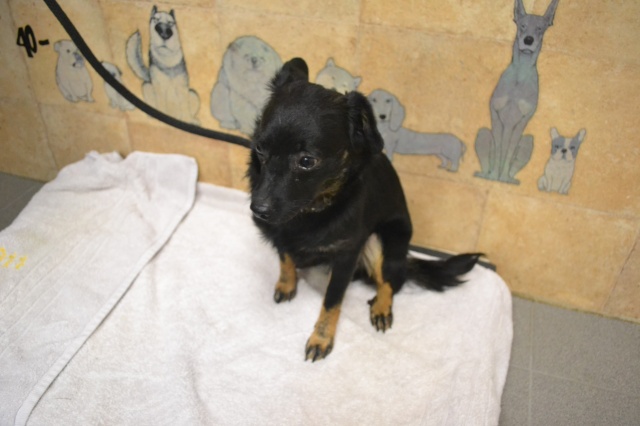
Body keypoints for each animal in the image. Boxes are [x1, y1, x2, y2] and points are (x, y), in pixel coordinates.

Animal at [249, 58, 481, 362]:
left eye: (307, 161)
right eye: (260, 149)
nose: (258, 209)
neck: (313, 208)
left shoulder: (347, 255)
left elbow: (332, 301)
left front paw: (321, 338)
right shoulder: (281, 234)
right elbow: (285, 259)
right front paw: (287, 284)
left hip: (383, 242)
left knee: (390, 282)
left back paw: (381, 307)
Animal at [474, 0, 559, 184]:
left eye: (540, 28)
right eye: (522, 25)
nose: (528, 40)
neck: (520, 74)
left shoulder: (522, 120)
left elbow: (509, 151)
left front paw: (503, 176)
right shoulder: (496, 114)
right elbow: (499, 148)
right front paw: (494, 176)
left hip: (528, 140)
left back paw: (508, 179)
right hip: (483, 133)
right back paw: (487, 175)